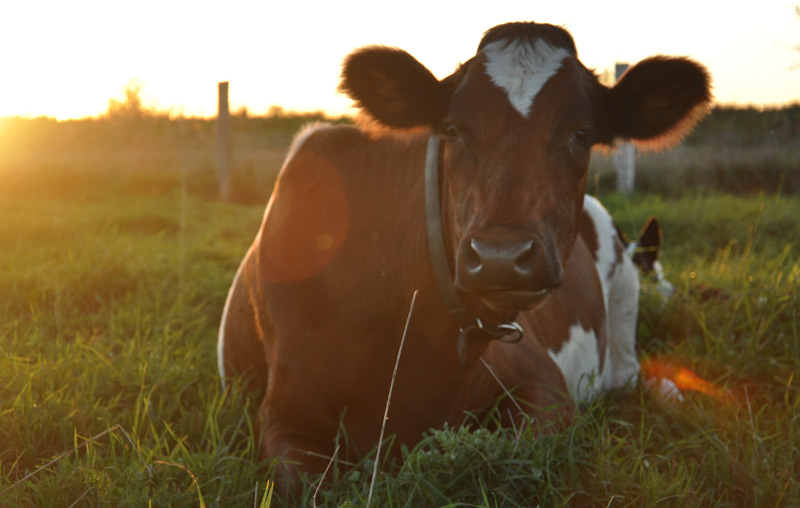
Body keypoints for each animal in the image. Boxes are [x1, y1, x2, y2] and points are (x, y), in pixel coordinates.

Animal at [217, 21, 711, 489]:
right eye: (453, 129)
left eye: (582, 134)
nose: (500, 256)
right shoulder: (282, 417)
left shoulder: (543, 381)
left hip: (626, 296)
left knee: (633, 378)